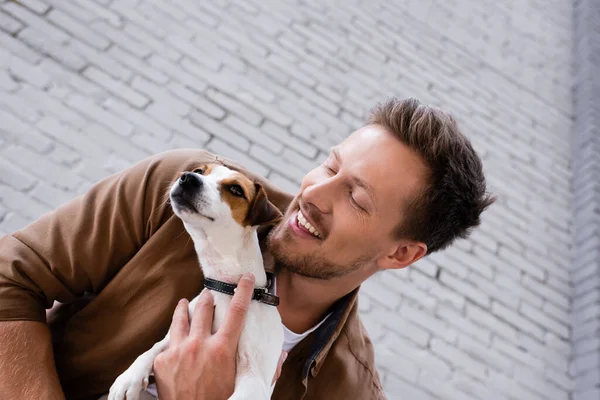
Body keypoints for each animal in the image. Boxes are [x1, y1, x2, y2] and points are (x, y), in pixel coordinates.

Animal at [108, 163, 286, 400]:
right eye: (200, 171)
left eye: (236, 190)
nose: (188, 178)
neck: (228, 289)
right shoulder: (178, 333)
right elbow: (154, 347)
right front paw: (129, 377)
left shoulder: (255, 381)